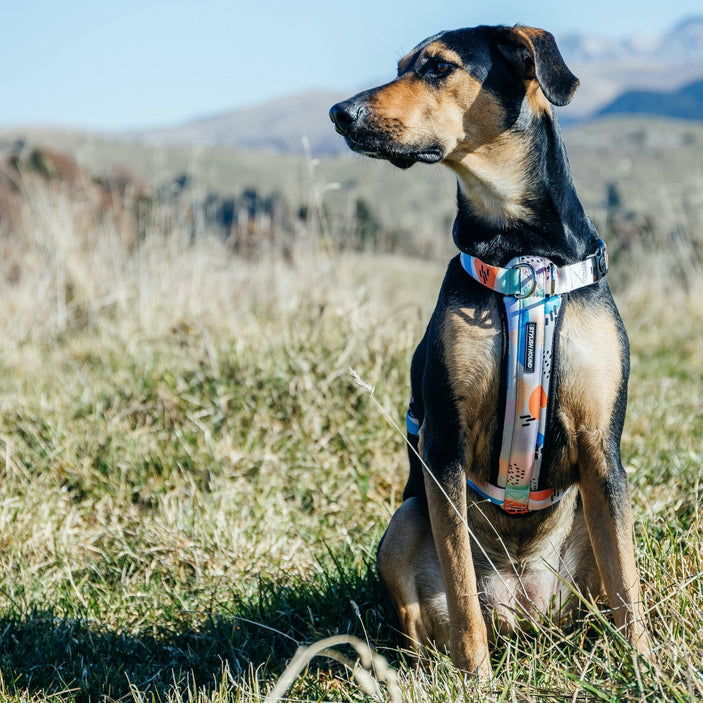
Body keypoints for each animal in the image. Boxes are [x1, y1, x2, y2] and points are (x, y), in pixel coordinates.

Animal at [332, 23, 652, 676]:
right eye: (400, 66)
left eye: (438, 67)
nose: (339, 113)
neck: (520, 250)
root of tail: (523, 612)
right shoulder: (444, 445)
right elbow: (459, 587)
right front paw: (475, 675)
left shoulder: (602, 447)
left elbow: (627, 580)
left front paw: (648, 668)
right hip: (404, 523)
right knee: (431, 617)